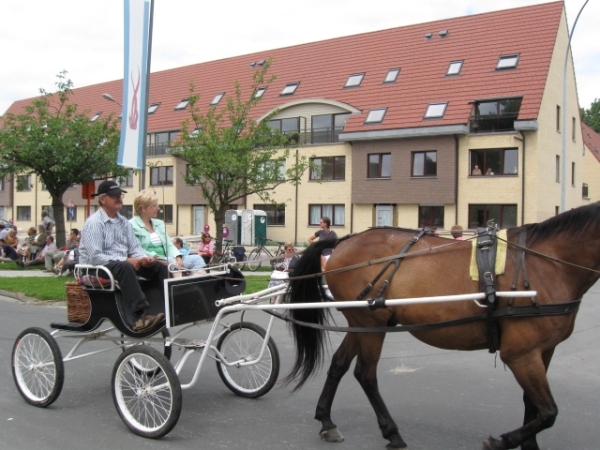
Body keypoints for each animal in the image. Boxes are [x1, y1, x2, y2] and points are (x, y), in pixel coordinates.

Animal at [284, 203, 600, 450]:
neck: (544, 263)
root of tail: (343, 241)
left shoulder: (542, 351)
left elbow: (533, 405)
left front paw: (527, 443)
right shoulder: (520, 354)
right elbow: (548, 412)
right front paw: (502, 441)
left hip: (364, 324)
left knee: (339, 364)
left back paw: (327, 421)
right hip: (371, 324)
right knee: (366, 374)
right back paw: (391, 431)